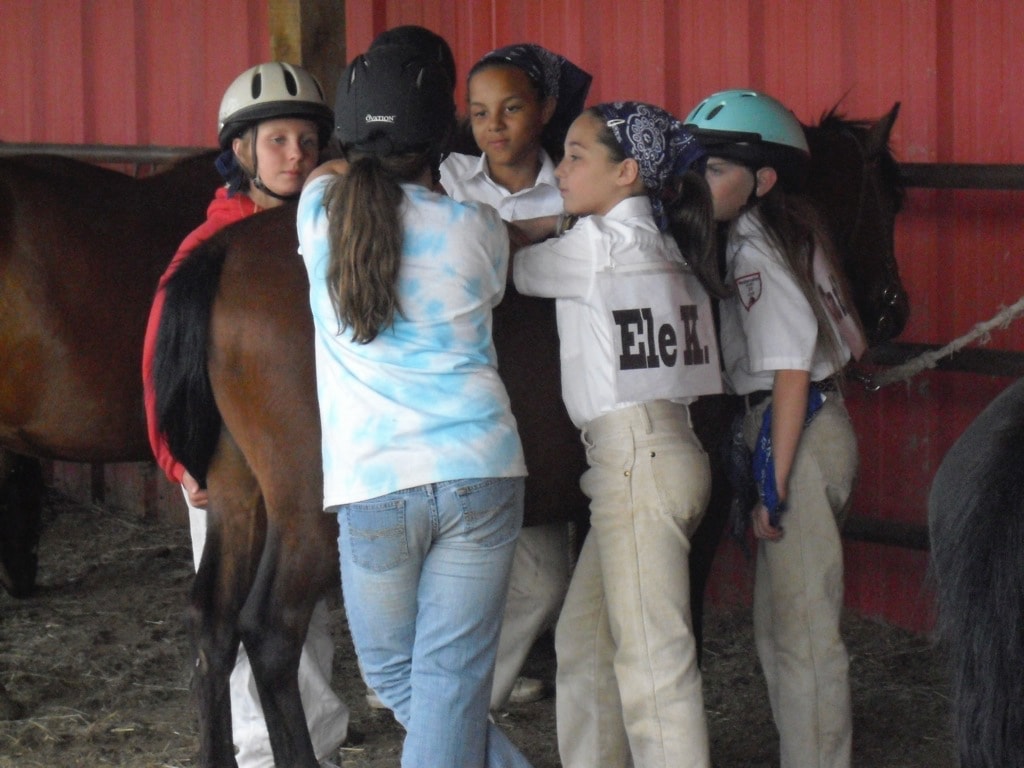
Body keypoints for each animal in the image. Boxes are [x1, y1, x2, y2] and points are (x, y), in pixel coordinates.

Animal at [153, 105, 905, 765]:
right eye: (891, 199)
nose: (893, 309)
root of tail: (223, 255)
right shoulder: (707, 495)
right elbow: (677, 622)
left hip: (238, 499)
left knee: (212, 625)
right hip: (309, 516)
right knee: (270, 634)